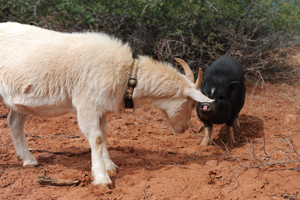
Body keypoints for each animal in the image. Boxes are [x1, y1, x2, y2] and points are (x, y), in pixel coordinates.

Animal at [0, 22, 212, 188]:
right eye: (192, 104)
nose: (183, 129)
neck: (126, 75)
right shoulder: (87, 104)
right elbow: (96, 139)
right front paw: (102, 179)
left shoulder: (100, 108)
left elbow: (104, 136)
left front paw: (110, 167)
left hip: (21, 100)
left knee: (14, 122)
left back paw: (28, 160)